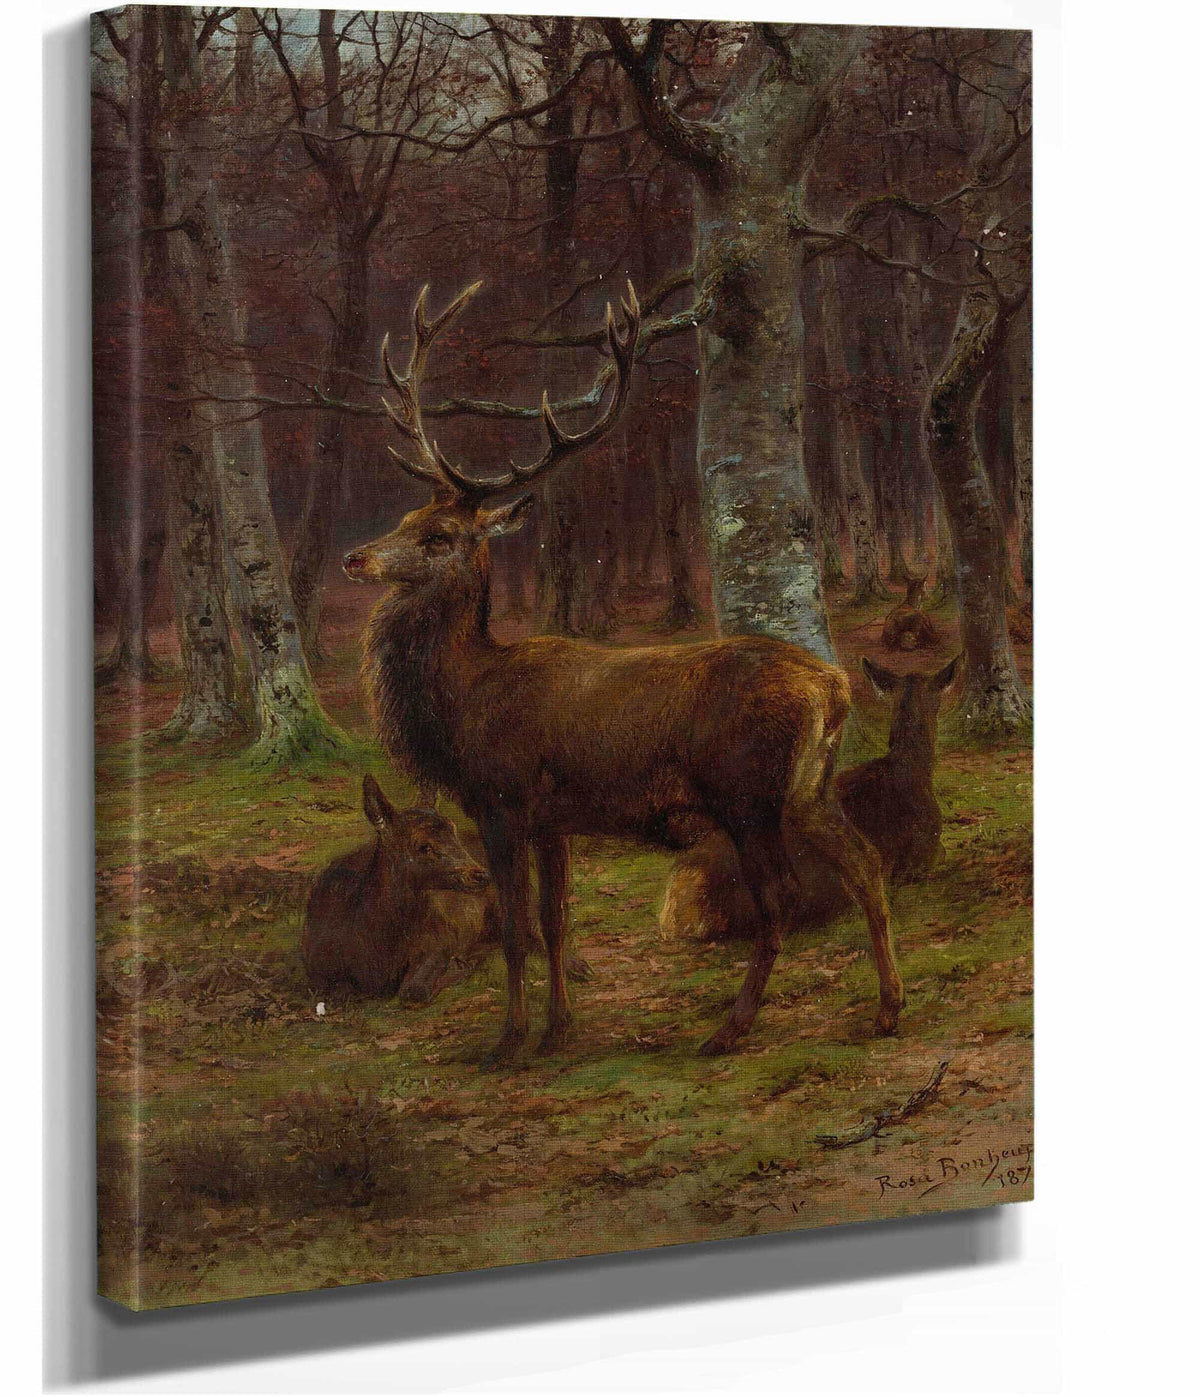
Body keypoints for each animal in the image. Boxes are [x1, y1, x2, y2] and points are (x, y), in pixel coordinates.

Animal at [302, 774, 494, 1002]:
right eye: (424, 846)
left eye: (453, 831)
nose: (481, 874)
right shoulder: (316, 972)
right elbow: (339, 993)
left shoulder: (440, 938)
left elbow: (414, 991)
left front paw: (459, 966)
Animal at [342, 280, 902, 1065]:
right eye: (406, 515)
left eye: (438, 535)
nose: (355, 558)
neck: (462, 703)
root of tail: (836, 685)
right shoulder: (553, 818)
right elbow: (556, 920)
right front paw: (558, 1029)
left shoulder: (502, 798)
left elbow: (516, 926)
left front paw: (507, 1042)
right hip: (809, 787)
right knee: (867, 863)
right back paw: (887, 1008)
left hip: (747, 792)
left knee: (783, 896)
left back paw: (729, 1027)